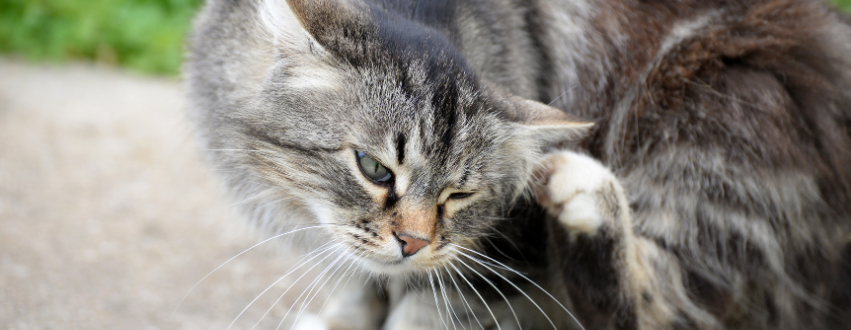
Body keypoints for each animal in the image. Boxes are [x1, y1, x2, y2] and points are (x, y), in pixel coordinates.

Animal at [185, 0, 851, 330]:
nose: (413, 243)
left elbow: (421, 314)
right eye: (374, 169)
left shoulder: (494, 259)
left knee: (662, 310)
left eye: (459, 195)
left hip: (725, 113)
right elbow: (354, 287)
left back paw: (588, 193)